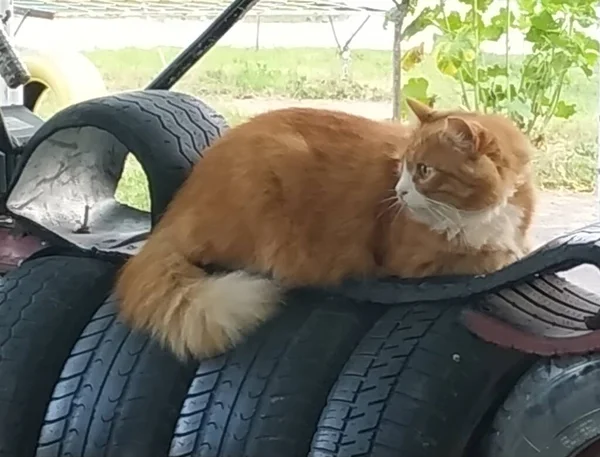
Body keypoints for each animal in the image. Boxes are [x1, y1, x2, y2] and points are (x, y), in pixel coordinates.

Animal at [115, 100, 536, 360]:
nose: (400, 192)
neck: (483, 211)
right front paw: (503, 255)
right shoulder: (412, 260)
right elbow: (486, 255)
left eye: (424, 170)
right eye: (403, 166)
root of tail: (176, 209)